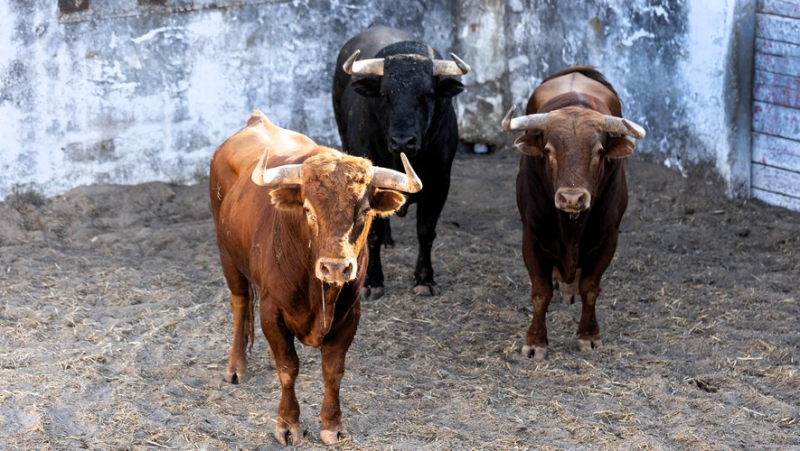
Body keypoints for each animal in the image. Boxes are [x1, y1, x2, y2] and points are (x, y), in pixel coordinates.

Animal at [209, 112, 422, 444]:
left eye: (363, 211)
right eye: (308, 210)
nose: (335, 268)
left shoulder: (349, 315)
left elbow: (333, 371)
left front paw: (332, 425)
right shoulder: (271, 311)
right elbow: (288, 367)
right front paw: (288, 425)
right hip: (227, 254)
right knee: (240, 302)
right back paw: (236, 367)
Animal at [330, 25, 468, 300]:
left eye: (428, 94)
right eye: (385, 94)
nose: (403, 140)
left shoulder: (439, 183)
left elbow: (425, 231)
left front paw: (424, 279)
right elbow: (372, 231)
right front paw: (373, 281)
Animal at [504, 67, 648, 362]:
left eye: (599, 152)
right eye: (548, 150)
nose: (572, 198)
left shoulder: (607, 237)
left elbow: (590, 288)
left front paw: (588, 336)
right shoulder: (531, 236)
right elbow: (541, 292)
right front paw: (535, 342)